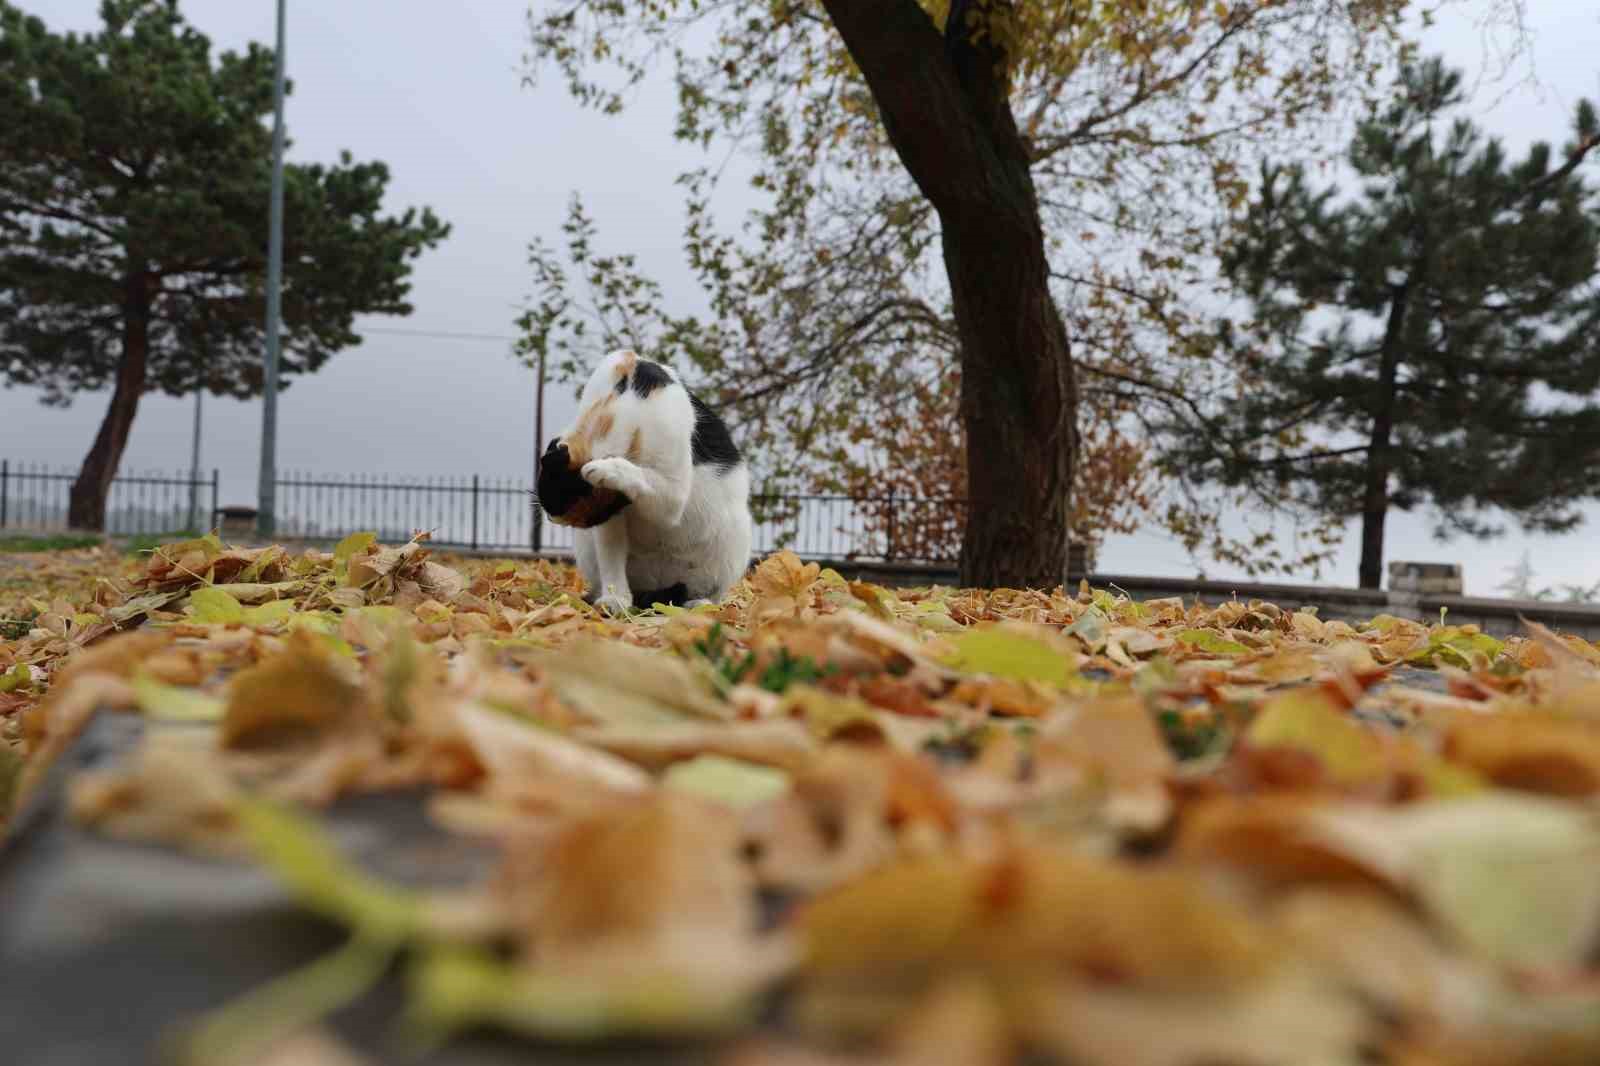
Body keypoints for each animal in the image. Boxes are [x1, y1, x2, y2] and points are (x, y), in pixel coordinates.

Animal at [534, 348, 752, 611]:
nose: (549, 517)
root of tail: (656, 587)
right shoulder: (611, 525)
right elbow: (611, 557)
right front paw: (615, 599)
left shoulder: (673, 495)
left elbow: (641, 475)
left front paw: (606, 468)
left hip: (734, 539)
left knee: (711, 593)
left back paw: (700, 603)